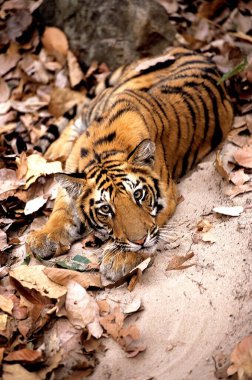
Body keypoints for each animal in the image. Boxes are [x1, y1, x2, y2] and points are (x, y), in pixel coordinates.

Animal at [26, 46, 233, 280]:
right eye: (105, 209)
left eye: (139, 195)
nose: (139, 241)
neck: (103, 151)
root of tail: (183, 48)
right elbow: (61, 209)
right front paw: (44, 237)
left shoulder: (167, 194)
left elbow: (153, 225)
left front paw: (120, 257)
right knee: (75, 118)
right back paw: (55, 150)